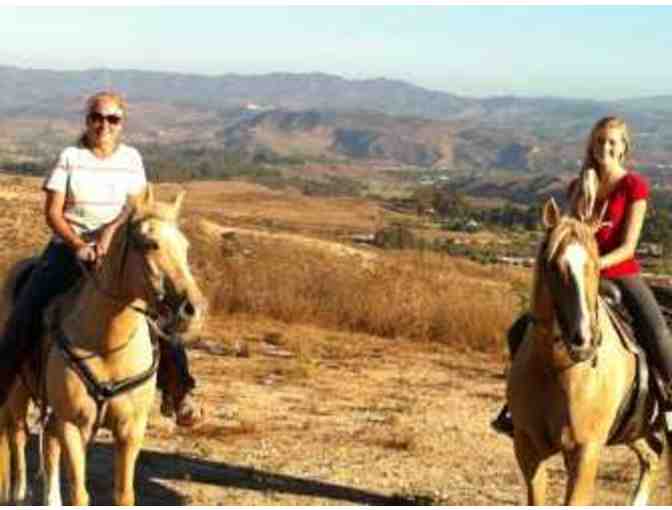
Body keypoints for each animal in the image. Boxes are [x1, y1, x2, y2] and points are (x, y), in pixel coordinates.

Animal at [0, 185, 207, 504]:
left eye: (185, 247)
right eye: (150, 244)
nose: (193, 309)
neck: (108, 345)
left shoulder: (131, 430)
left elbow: (123, 494)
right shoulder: (73, 425)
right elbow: (79, 494)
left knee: (48, 445)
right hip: (17, 392)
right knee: (17, 437)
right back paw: (17, 494)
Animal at [510, 196, 668, 506]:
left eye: (595, 265)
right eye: (551, 266)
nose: (582, 341)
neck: (555, 369)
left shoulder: (586, 451)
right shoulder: (527, 446)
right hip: (637, 429)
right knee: (652, 458)